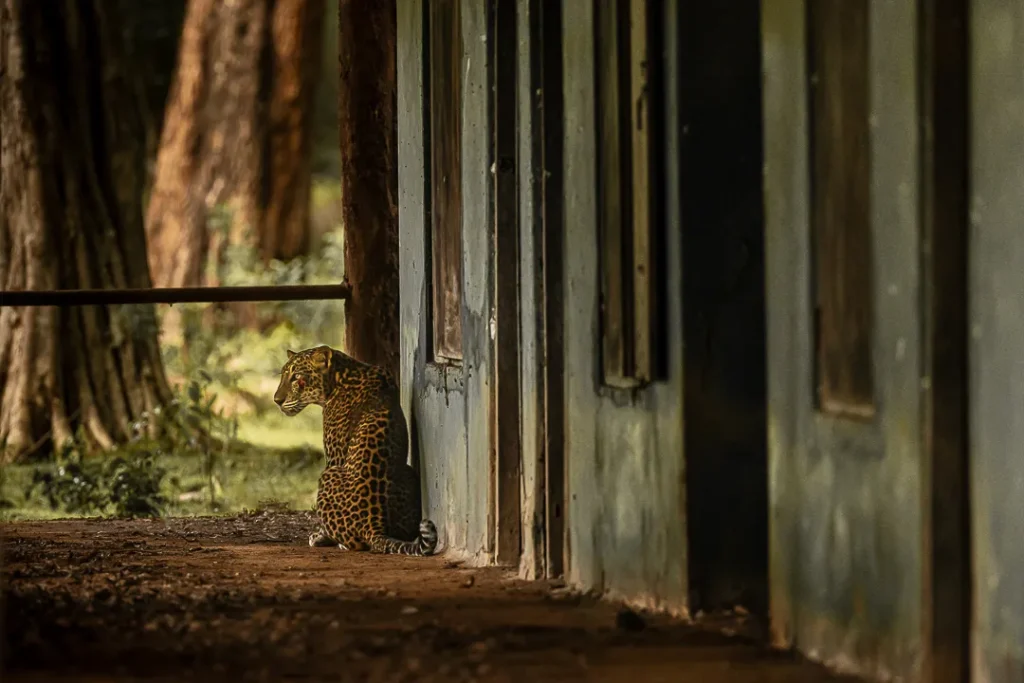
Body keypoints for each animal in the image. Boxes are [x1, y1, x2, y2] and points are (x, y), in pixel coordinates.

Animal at [273, 345, 438, 556]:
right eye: (283, 375)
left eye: (296, 377)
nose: (277, 400)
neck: (341, 375)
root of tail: (373, 526)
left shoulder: (335, 457)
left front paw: (319, 536)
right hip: (408, 473)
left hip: (328, 474)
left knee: (355, 543)